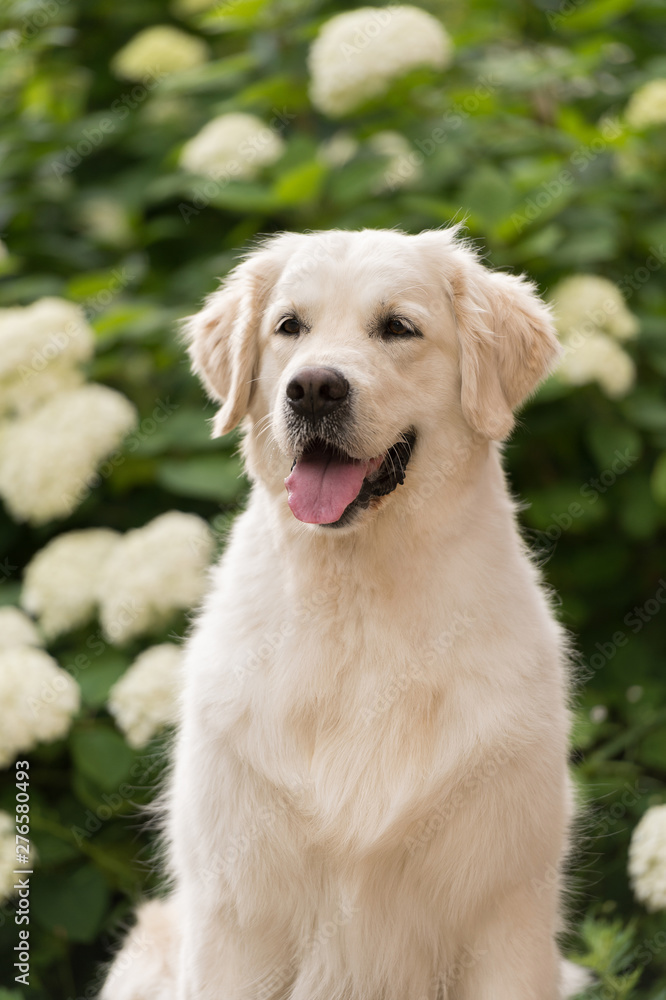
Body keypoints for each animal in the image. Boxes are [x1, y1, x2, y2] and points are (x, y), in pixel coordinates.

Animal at [100, 229, 588, 1000]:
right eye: (288, 326)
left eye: (398, 327)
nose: (313, 388)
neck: (359, 603)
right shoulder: (237, 918)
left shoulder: (503, 915)